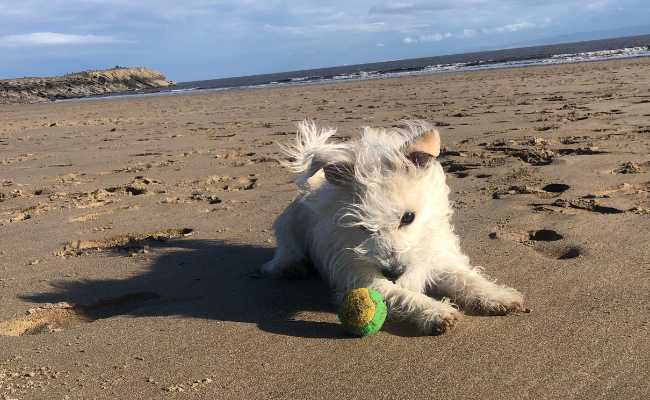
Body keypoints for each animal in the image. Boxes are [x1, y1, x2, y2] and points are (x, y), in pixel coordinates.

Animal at [260, 120, 520, 332]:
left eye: (408, 217)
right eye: (363, 227)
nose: (394, 273)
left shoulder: (439, 261)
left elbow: (467, 278)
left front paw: (498, 296)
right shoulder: (366, 280)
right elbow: (403, 295)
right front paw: (436, 312)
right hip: (289, 231)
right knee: (283, 255)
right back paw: (290, 267)